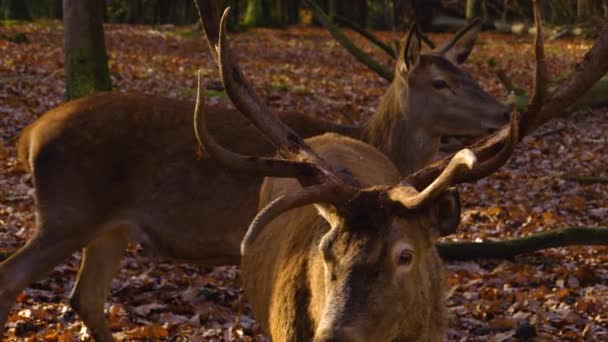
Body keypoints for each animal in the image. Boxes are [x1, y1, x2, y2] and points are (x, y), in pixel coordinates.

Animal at [1, 1, 508, 340]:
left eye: (468, 75)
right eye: (440, 83)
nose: (502, 113)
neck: (377, 141)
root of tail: (28, 136)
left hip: (110, 229)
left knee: (85, 296)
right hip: (68, 214)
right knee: (14, 276)